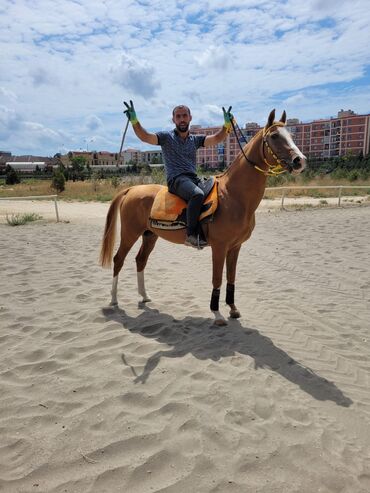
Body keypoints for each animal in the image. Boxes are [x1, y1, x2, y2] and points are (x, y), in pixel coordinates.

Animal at [99, 112, 306, 326]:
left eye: (291, 134)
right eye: (274, 136)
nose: (300, 160)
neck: (232, 196)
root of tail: (131, 189)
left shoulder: (235, 247)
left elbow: (231, 277)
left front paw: (233, 308)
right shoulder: (219, 247)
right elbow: (217, 278)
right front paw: (217, 313)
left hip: (150, 235)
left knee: (140, 260)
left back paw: (144, 296)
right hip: (130, 234)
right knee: (118, 260)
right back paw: (114, 299)